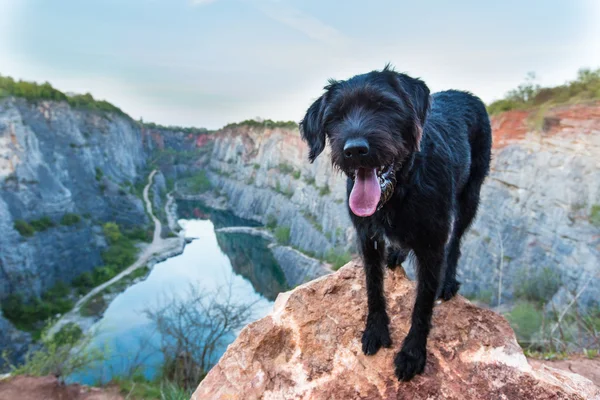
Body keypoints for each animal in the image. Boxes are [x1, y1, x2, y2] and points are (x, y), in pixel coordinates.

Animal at [300, 65, 492, 382]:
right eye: (335, 116)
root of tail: (466, 94)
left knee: (456, 241)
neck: (401, 188)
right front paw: (375, 330)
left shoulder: (432, 246)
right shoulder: (367, 238)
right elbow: (373, 286)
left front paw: (413, 353)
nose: (355, 150)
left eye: (384, 106)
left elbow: (423, 302)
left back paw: (448, 281)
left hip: (470, 194)